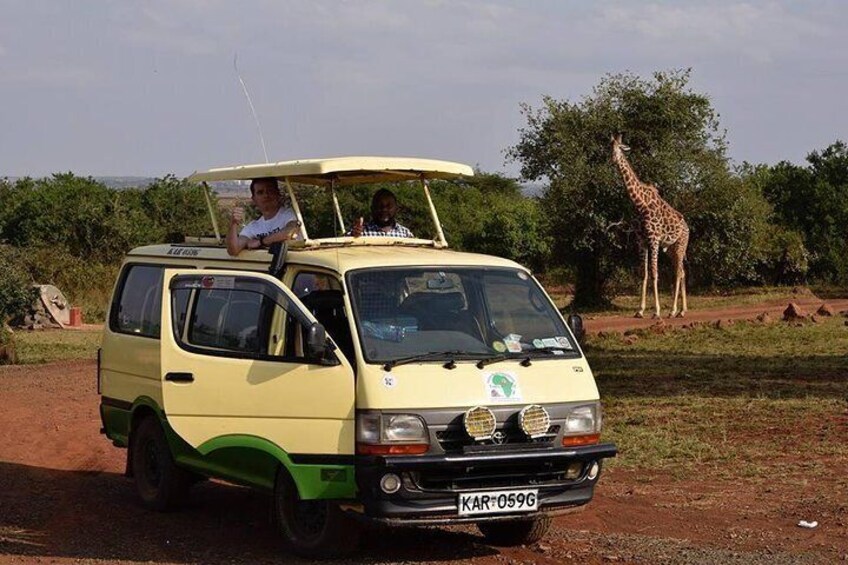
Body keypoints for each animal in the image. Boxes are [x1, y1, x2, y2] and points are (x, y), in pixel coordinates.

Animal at [612, 132, 692, 318]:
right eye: (609, 147)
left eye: (620, 148)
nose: (612, 159)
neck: (640, 204)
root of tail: (687, 228)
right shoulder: (641, 241)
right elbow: (644, 273)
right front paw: (640, 310)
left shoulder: (654, 240)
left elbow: (655, 273)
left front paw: (656, 311)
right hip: (671, 249)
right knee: (682, 272)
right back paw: (682, 310)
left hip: (681, 245)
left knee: (678, 273)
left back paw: (673, 310)